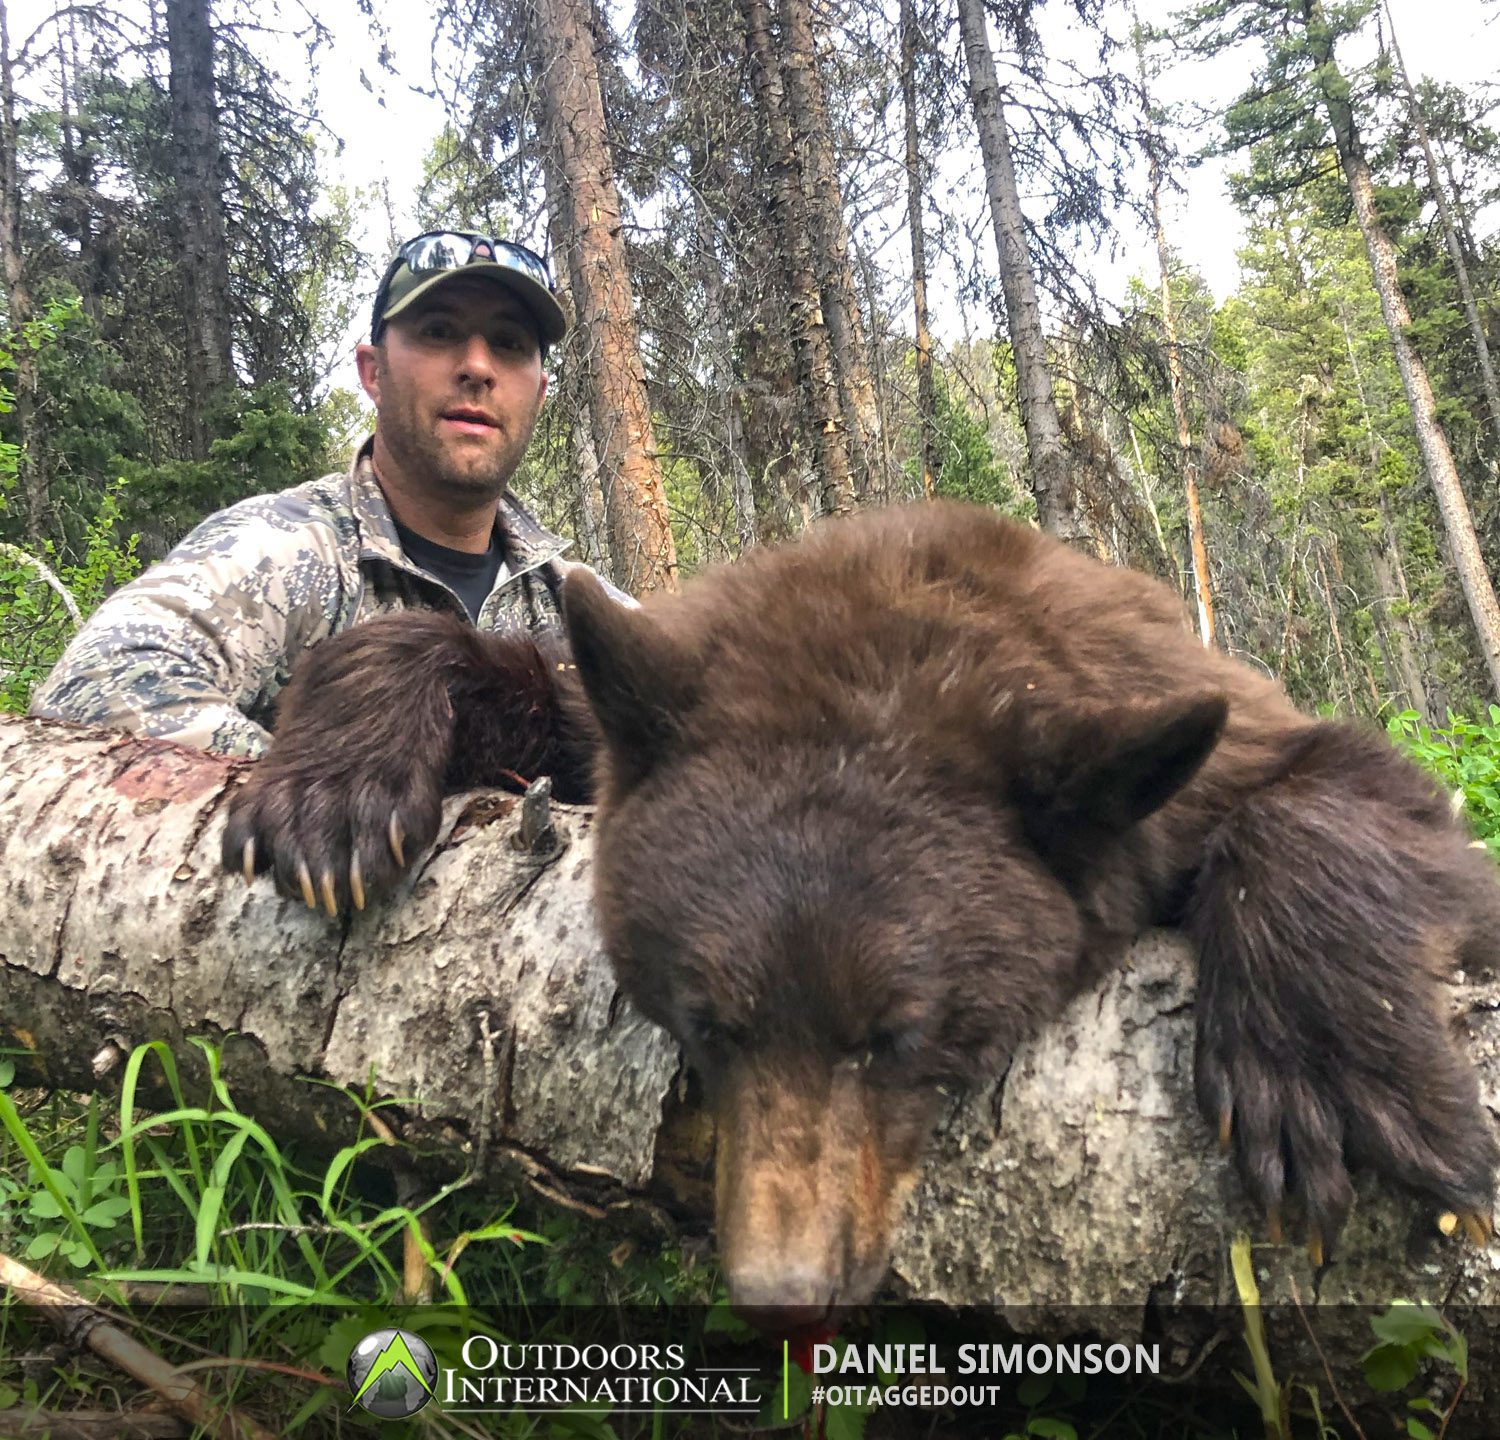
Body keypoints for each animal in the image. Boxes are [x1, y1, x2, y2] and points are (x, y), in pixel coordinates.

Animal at [223, 500, 1500, 1324]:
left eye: (899, 1035)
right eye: (709, 1021)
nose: (783, 1294)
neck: (898, 644)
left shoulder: (1189, 738)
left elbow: (1364, 795)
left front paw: (1326, 1081)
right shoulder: (646, 707)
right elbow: (506, 667)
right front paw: (330, 797)